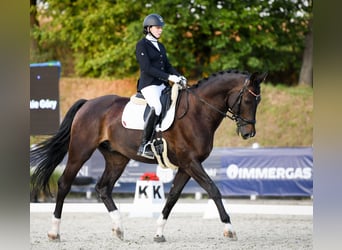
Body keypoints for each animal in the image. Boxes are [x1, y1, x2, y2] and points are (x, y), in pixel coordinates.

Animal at [30, 69, 268, 242]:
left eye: (258, 102)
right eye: (248, 101)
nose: (249, 133)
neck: (197, 113)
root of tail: (88, 103)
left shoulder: (187, 166)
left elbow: (172, 197)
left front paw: (159, 233)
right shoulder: (191, 162)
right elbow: (213, 190)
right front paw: (229, 229)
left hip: (117, 158)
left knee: (103, 188)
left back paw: (119, 229)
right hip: (80, 151)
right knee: (64, 184)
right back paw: (54, 232)